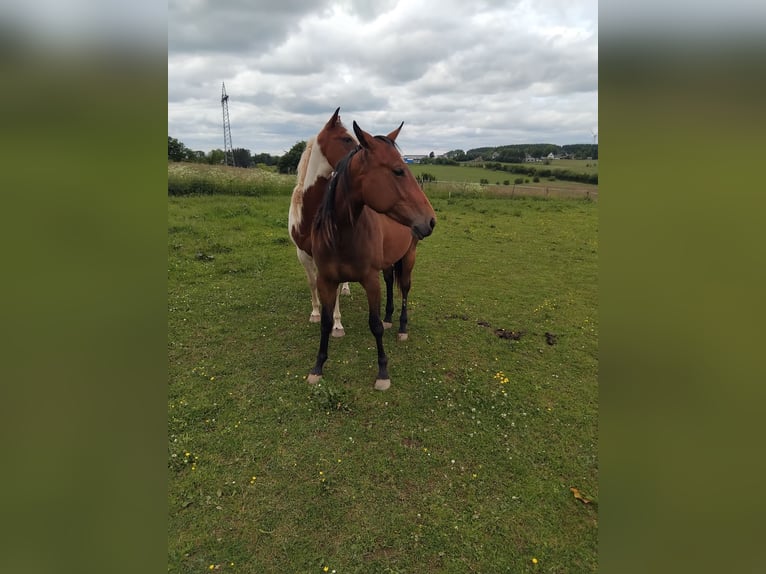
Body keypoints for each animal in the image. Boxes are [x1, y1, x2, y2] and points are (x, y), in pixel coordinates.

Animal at [307, 120, 437, 390]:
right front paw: (318, 367)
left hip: (409, 257)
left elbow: (374, 326)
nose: (431, 220)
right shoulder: (326, 281)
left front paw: (383, 372)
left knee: (404, 288)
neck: (342, 236)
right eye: (398, 171)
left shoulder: (369, 280)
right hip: (387, 264)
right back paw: (389, 317)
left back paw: (401, 327)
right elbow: (325, 322)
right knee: (389, 282)